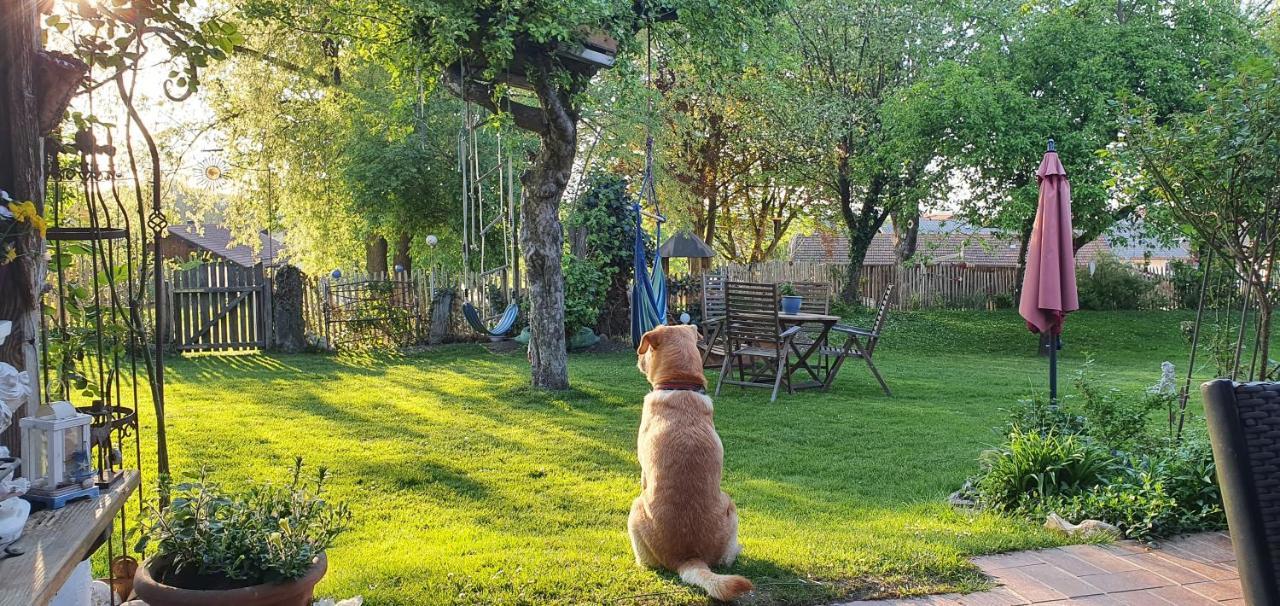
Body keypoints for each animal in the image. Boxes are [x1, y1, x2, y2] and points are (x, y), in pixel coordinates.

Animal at [627, 325, 747, 599]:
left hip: (636, 510)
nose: (637, 358)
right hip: (731, 505)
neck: (680, 385)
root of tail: (689, 558)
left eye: (645, 349)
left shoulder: (643, 475)